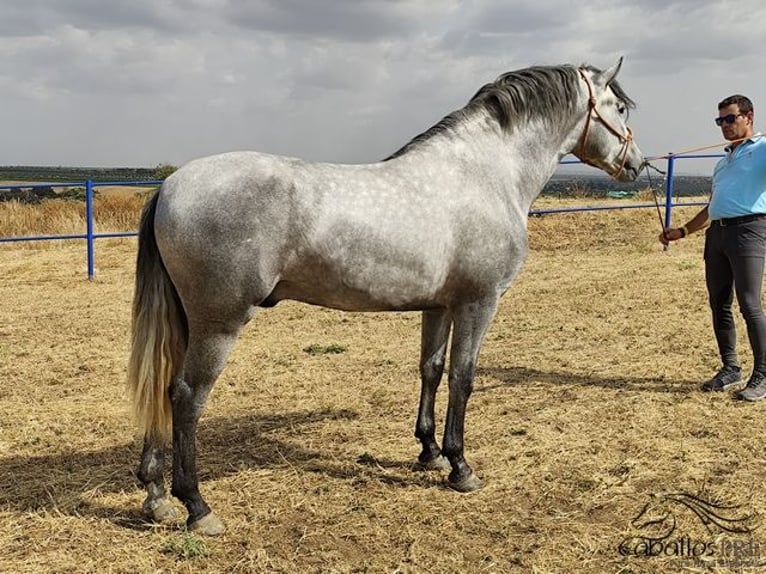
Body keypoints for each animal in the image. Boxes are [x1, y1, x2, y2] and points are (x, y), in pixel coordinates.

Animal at [129, 58, 644, 536]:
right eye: (619, 107)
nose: (636, 164)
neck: (485, 173)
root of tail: (170, 186)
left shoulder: (440, 306)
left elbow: (431, 370)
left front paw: (430, 453)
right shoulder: (479, 303)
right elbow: (463, 378)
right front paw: (461, 468)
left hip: (186, 321)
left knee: (163, 388)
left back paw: (157, 498)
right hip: (219, 323)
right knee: (187, 396)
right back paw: (197, 506)